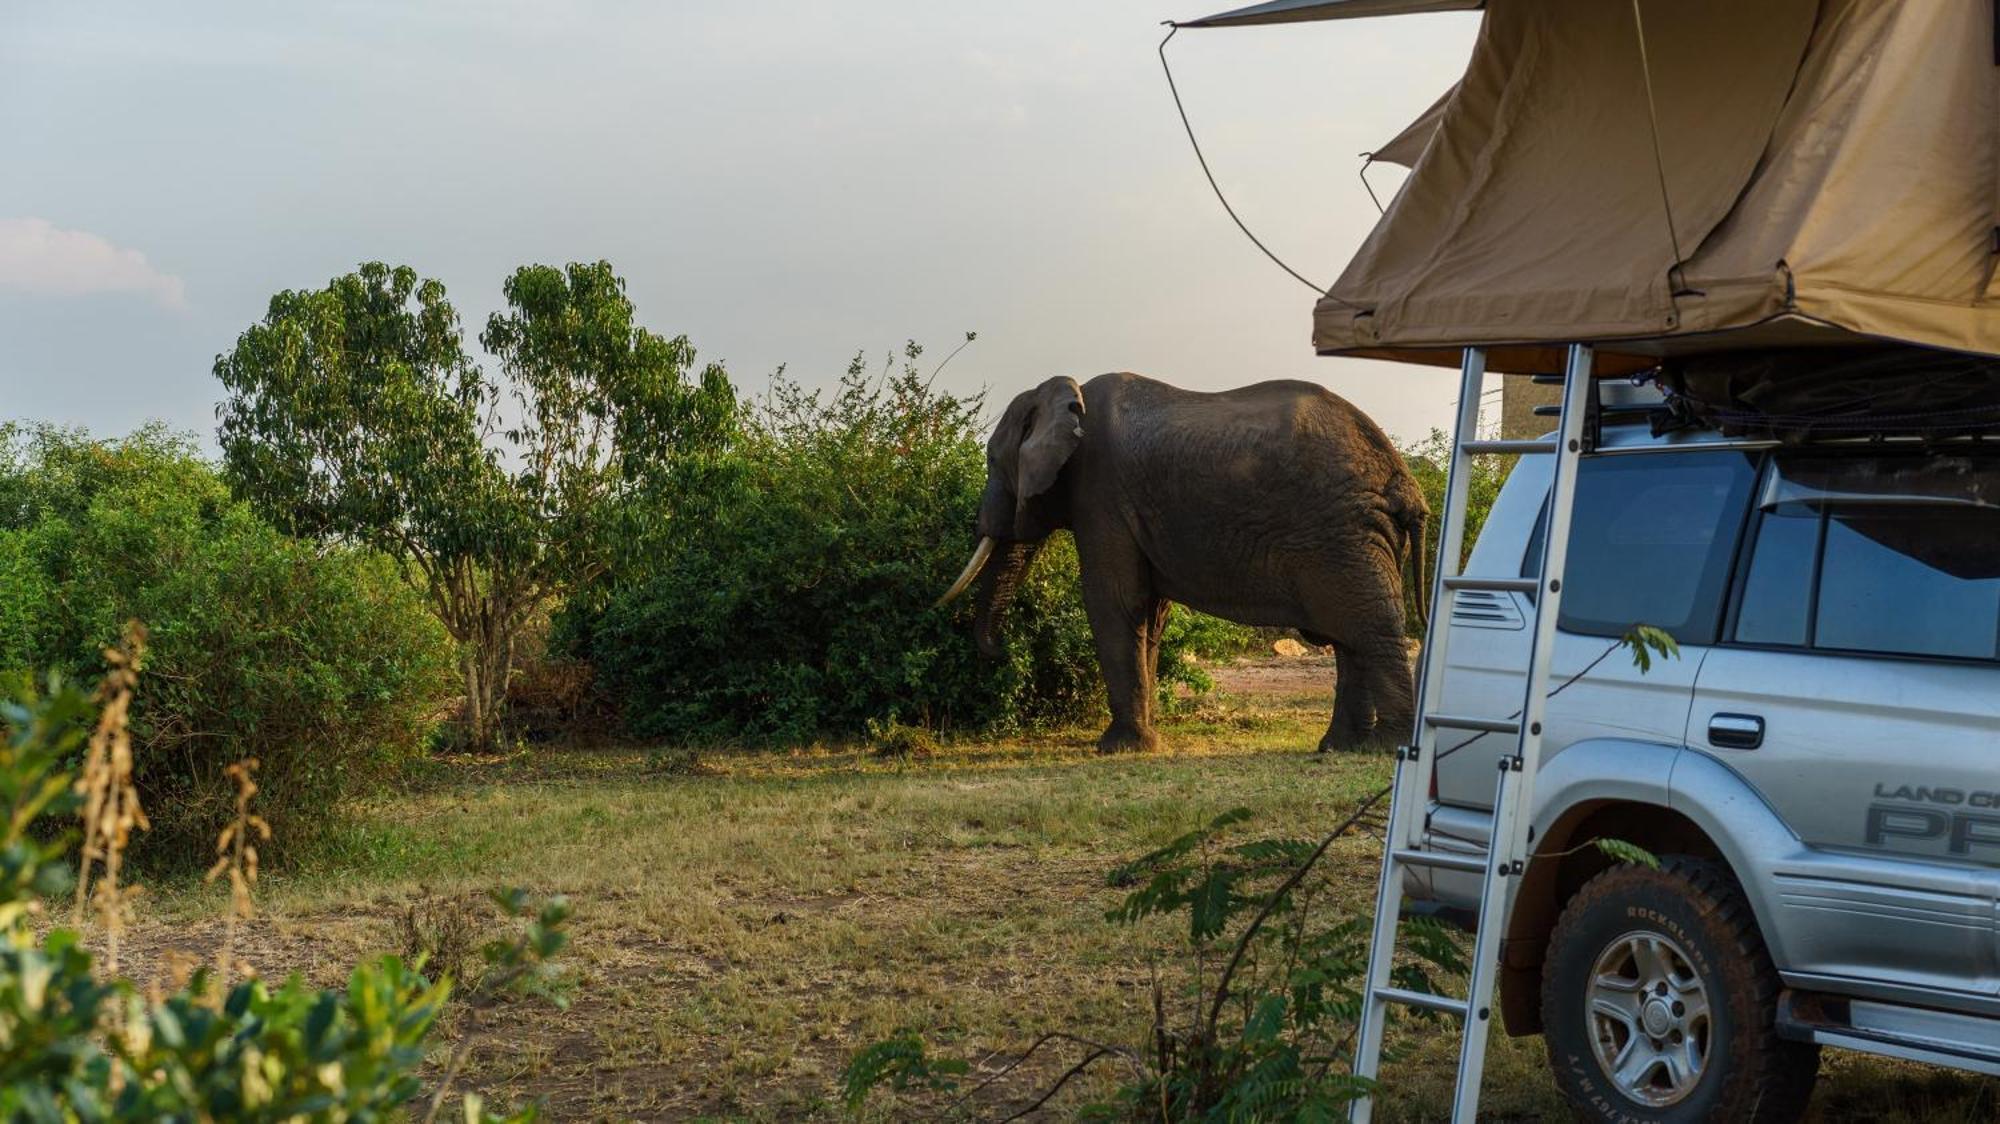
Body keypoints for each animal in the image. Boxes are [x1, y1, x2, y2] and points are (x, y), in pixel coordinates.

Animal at [936, 370, 1424, 752]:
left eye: (992, 459)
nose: (1003, 652)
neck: (1066, 392)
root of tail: (1403, 480)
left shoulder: (1102, 493)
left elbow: (1112, 599)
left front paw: (1118, 748)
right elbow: (1150, 613)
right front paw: (1144, 740)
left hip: (1342, 531)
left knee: (1369, 628)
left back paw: (1386, 747)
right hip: (1354, 535)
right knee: (1351, 637)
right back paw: (1340, 747)